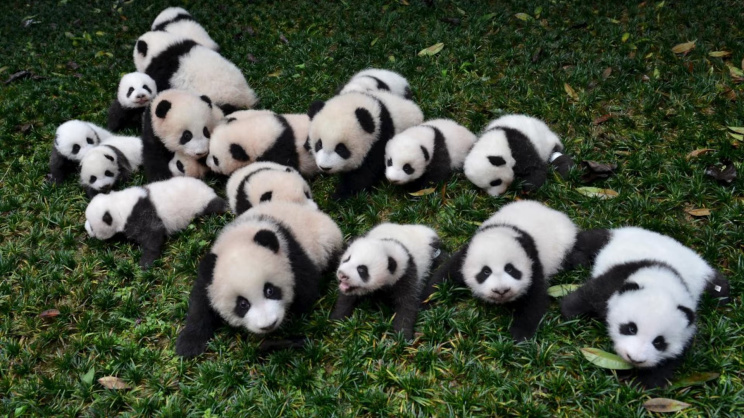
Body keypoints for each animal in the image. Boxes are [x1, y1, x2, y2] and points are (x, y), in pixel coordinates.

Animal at [84, 177, 227, 269]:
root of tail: (208, 188)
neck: (117, 206)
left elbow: (153, 234)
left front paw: (145, 263)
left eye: (92, 226)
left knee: (215, 205)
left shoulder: (139, 215)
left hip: (201, 201)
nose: (86, 229)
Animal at [174, 202, 344, 357]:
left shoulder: (291, 253)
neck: (239, 239)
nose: (268, 325)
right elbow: (200, 304)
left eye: (270, 290)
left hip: (325, 241)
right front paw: (188, 346)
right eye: (242, 304)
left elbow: (307, 288)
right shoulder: (210, 276)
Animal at [431, 200, 578, 341]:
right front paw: (429, 300)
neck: (501, 231)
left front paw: (521, 335)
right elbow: (445, 275)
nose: (501, 291)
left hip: (565, 247)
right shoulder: (465, 255)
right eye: (486, 271)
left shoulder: (532, 259)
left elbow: (534, 297)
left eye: (510, 269)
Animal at [560, 227, 730, 388]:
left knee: (721, 288)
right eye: (631, 328)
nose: (634, 359)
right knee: (588, 241)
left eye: (659, 342)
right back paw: (579, 260)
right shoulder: (619, 277)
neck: (663, 282)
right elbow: (591, 294)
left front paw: (643, 384)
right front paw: (569, 314)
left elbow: (670, 360)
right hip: (613, 238)